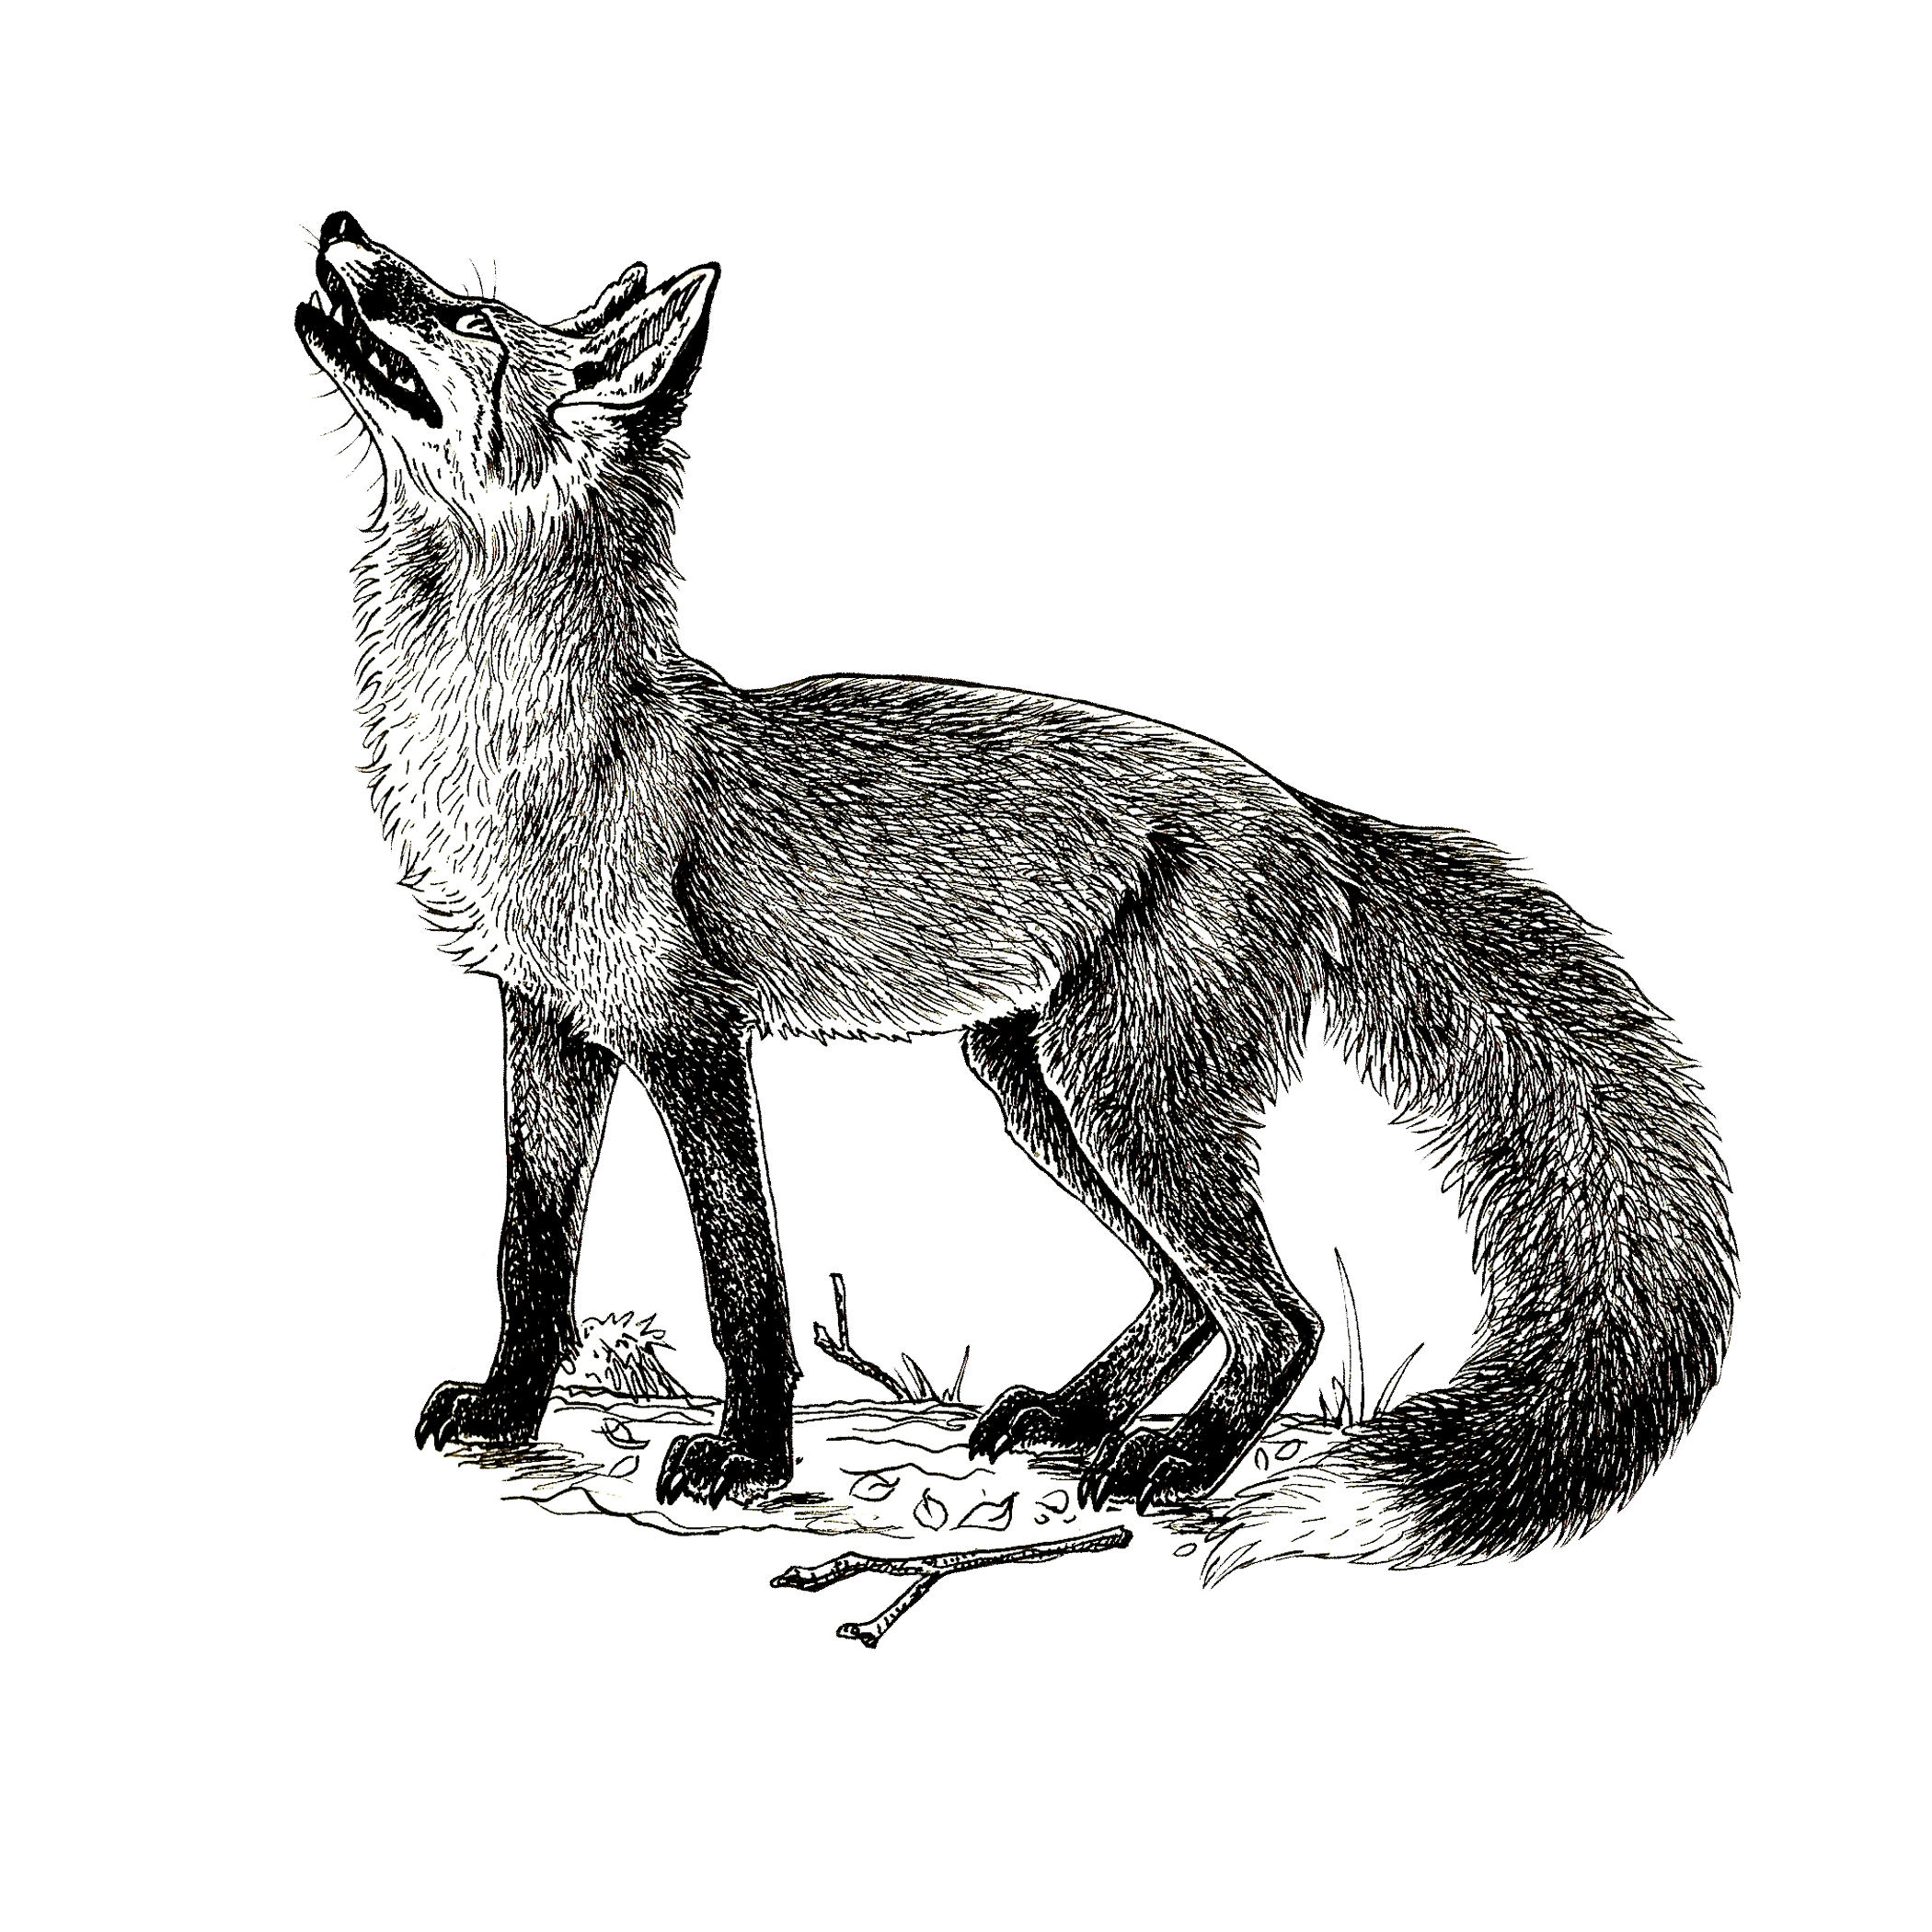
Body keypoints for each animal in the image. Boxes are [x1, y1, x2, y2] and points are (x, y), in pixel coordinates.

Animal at [295, 208, 1739, 1570]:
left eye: (457, 313)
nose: (339, 236)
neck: (532, 747)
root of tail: (1315, 825)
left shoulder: (692, 1039)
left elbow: (742, 1275)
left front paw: (750, 1455)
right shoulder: (547, 1022)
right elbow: (534, 1246)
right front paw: (503, 1414)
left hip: (1124, 1098)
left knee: (1284, 1318)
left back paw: (1179, 1459)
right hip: (1046, 1095)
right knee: (1194, 1294)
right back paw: (1079, 1414)